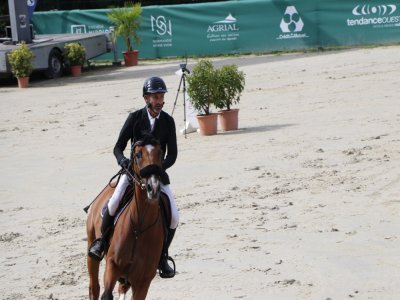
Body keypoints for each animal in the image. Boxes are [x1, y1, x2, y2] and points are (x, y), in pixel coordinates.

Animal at [86, 137, 166, 300]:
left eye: (160, 153)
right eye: (138, 155)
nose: (153, 188)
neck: (139, 227)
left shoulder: (143, 282)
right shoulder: (112, 266)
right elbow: (106, 294)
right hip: (91, 247)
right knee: (94, 287)